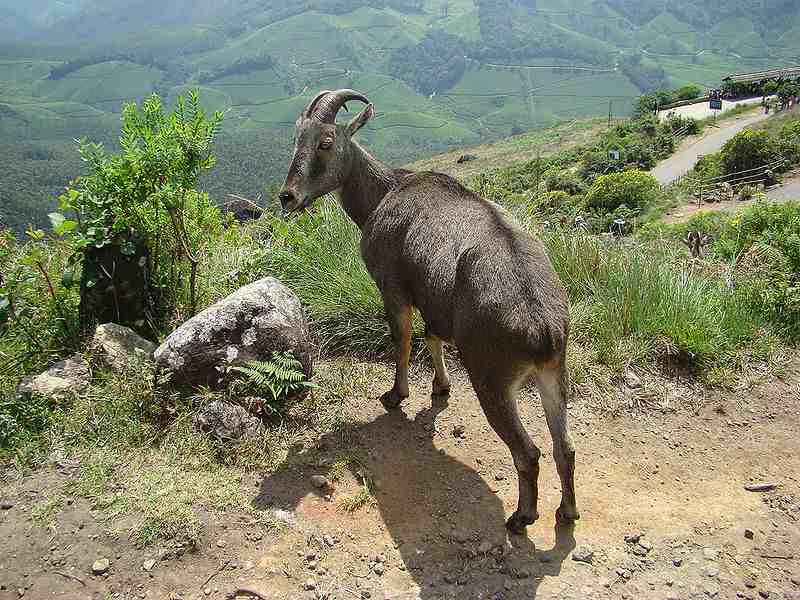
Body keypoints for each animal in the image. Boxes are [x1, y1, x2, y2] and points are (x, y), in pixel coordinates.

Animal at [278, 88, 580, 528]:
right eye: (296, 138)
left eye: (327, 142)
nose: (288, 196)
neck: (385, 192)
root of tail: (542, 328)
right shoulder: (433, 301)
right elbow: (432, 336)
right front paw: (440, 387)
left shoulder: (393, 286)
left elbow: (403, 337)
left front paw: (395, 395)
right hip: (554, 372)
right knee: (565, 447)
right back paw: (567, 511)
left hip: (492, 379)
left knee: (528, 453)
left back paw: (522, 517)